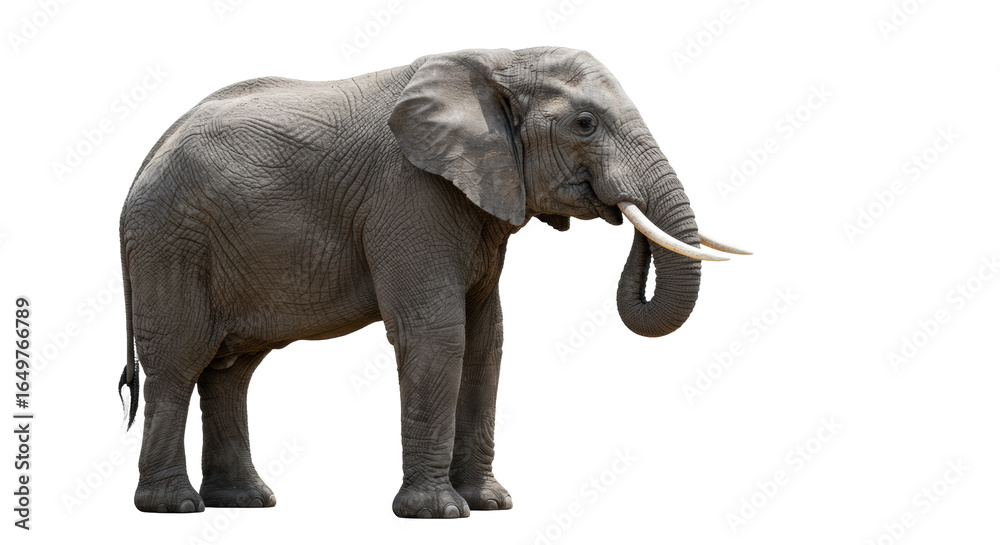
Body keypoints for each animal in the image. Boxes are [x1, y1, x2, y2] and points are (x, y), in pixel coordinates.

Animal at [116, 46, 748, 517]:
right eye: (585, 124)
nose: (619, 211)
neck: (498, 59)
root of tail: (145, 158)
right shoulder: (409, 195)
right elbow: (437, 334)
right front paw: (438, 513)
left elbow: (487, 340)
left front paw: (491, 504)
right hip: (168, 243)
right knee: (178, 364)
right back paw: (174, 507)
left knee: (231, 370)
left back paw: (246, 502)